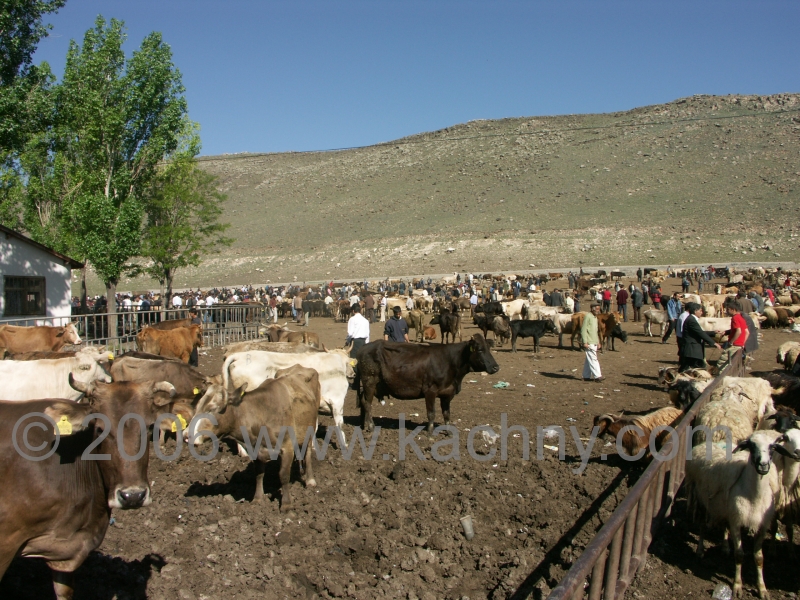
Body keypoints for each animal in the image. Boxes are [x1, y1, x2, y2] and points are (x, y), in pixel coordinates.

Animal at [190, 365, 319, 509]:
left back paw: (310, 480)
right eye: (197, 407)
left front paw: (286, 505)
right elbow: (258, 474)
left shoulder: (287, 447)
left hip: (310, 430)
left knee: (308, 454)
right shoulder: (256, 451)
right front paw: (257, 499)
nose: (186, 435)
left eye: (213, 409)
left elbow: (284, 475)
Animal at [219, 350, 354, 446]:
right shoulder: (337, 402)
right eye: (348, 363)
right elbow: (339, 424)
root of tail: (239, 355)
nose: (353, 373)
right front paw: (344, 445)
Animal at [354, 333, 499, 434]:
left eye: (489, 349)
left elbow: (447, 414)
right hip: (369, 381)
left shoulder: (447, 394)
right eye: (479, 350)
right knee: (367, 403)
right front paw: (430, 431)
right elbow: (431, 413)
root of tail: (363, 348)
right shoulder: (430, 390)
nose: (496, 367)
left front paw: (448, 431)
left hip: (376, 385)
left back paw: (363, 424)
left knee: (363, 400)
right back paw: (371, 426)